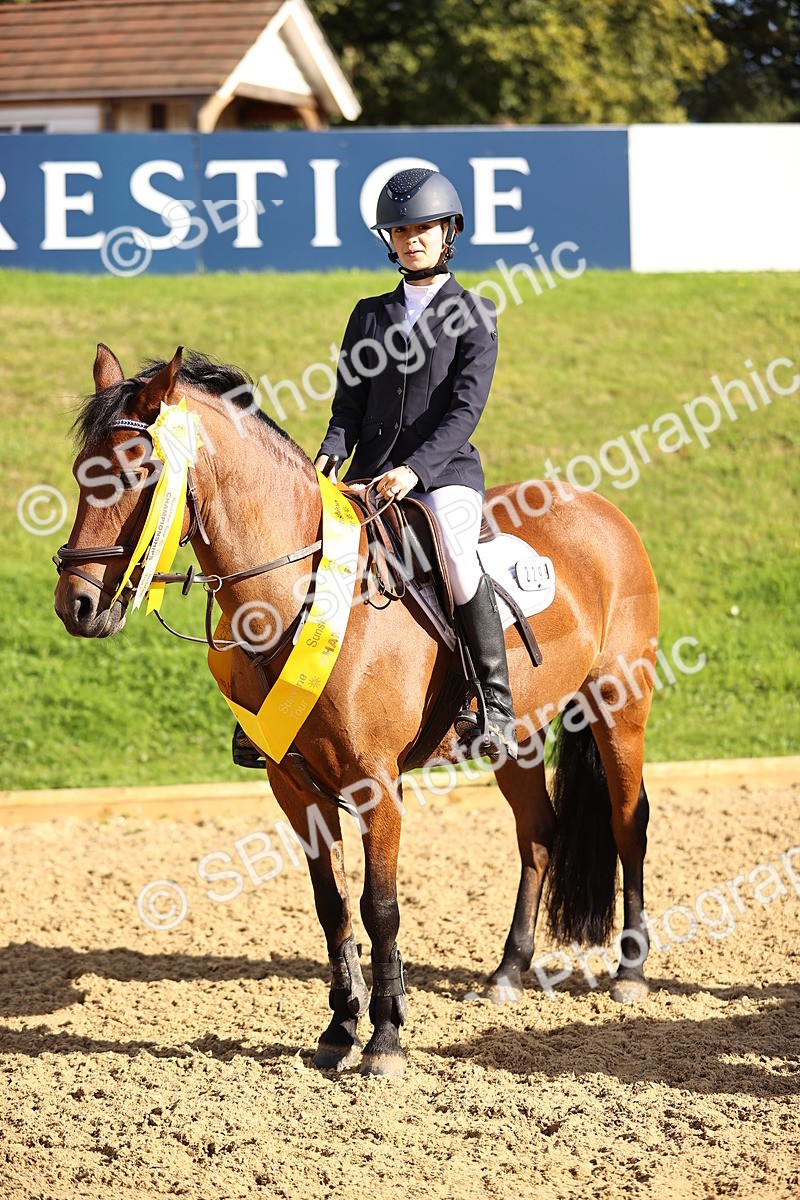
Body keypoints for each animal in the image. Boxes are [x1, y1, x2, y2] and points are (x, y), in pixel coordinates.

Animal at [54, 344, 659, 1078]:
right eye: (81, 474)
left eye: (138, 473)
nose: (76, 606)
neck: (296, 589)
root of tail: (601, 508)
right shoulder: (292, 783)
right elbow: (332, 906)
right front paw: (340, 1029)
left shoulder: (377, 783)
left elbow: (380, 907)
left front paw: (386, 1038)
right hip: (514, 738)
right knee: (538, 833)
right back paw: (507, 973)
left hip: (619, 706)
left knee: (628, 822)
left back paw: (630, 971)